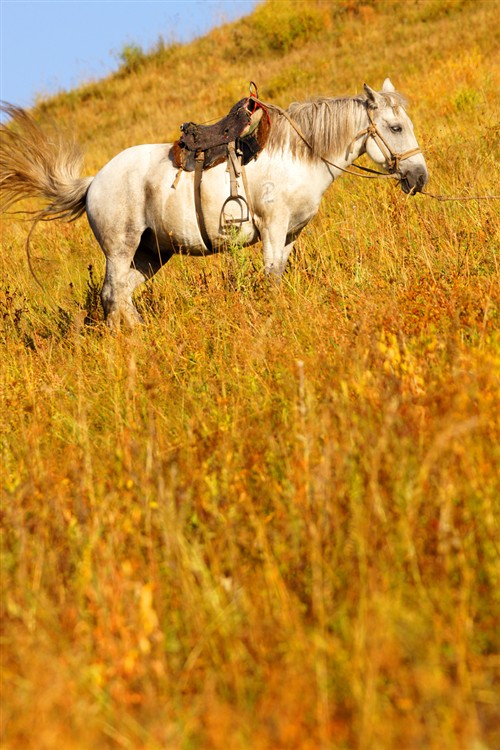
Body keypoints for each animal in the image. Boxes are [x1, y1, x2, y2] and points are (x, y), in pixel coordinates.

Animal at [0, 79, 430, 328]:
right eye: (395, 127)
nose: (419, 178)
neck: (299, 156)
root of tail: (93, 182)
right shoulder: (273, 227)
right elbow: (271, 277)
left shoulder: (291, 234)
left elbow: (279, 273)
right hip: (120, 248)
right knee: (112, 295)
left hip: (150, 255)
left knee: (120, 295)